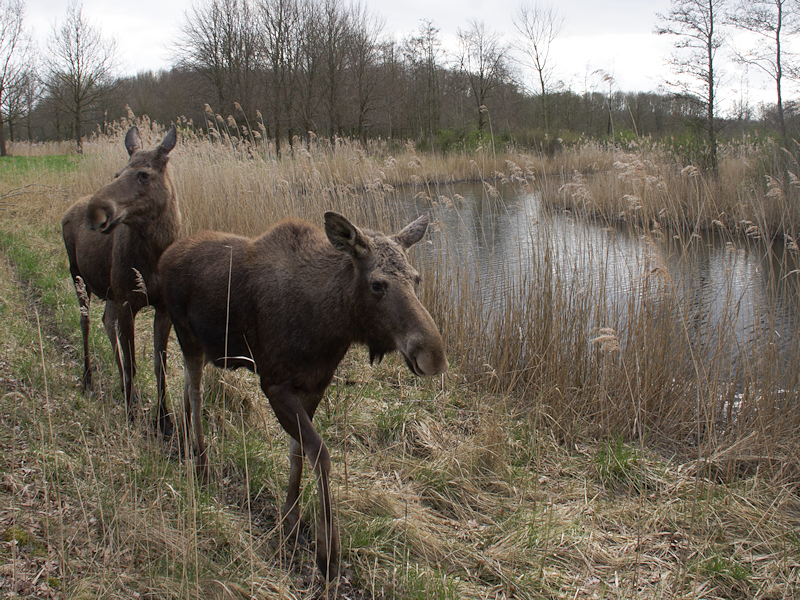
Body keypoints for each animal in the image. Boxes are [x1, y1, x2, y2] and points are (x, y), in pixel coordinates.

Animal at [63, 127, 181, 436]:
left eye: (143, 174)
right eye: (117, 174)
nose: (96, 211)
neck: (153, 256)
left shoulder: (162, 307)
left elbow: (159, 366)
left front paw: (164, 419)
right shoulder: (129, 301)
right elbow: (133, 364)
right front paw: (131, 415)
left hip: (110, 292)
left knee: (106, 321)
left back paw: (127, 389)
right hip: (78, 275)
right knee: (86, 321)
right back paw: (89, 380)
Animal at [161, 211, 450, 576]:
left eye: (416, 278)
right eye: (377, 284)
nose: (434, 356)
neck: (329, 326)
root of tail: (165, 255)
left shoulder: (313, 386)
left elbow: (297, 451)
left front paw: (291, 519)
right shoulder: (274, 384)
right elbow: (320, 453)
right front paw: (328, 553)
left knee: (186, 387)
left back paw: (185, 444)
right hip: (186, 334)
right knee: (195, 391)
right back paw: (201, 461)